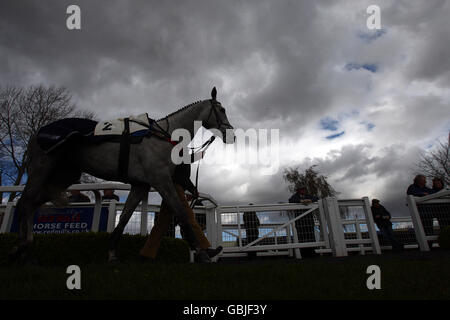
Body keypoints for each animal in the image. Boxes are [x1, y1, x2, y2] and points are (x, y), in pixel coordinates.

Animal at [8, 87, 236, 262]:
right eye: (222, 109)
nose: (232, 134)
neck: (163, 134)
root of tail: (37, 133)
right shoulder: (161, 180)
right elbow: (181, 213)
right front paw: (202, 252)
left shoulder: (140, 185)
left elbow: (125, 217)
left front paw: (111, 252)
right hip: (41, 168)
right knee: (25, 203)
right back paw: (21, 249)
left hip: (63, 176)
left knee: (33, 203)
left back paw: (25, 248)